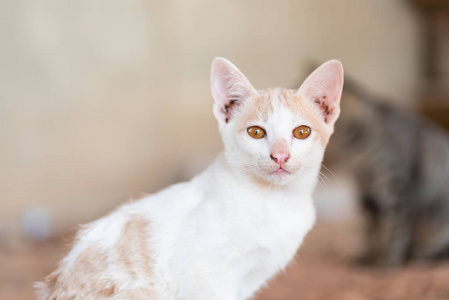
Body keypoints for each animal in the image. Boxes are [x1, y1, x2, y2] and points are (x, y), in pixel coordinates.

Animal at [328, 78, 448, 268]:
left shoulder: (396, 187)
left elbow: (396, 229)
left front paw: (388, 260)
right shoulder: (365, 189)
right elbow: (371, 230)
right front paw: (368, 254)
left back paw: (420, 256)